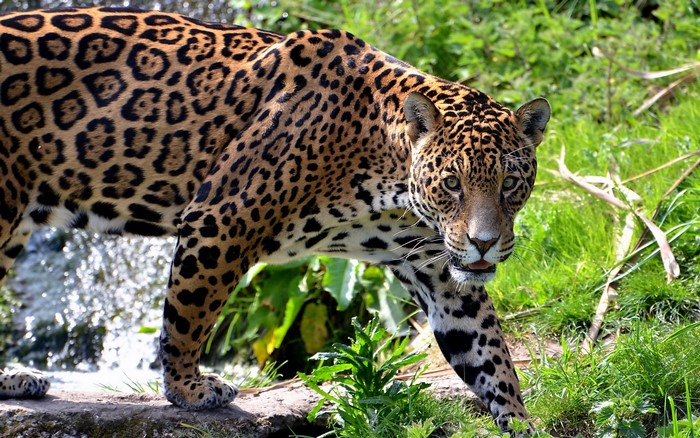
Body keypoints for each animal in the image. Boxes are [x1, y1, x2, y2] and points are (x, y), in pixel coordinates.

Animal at [0, 6, 550, 434]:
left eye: (509, 183)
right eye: (452, 183)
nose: (484, 244)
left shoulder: (439, 268)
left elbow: (488, 352)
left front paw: (521, 421)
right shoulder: (221, 217)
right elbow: (187, 316)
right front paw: (187, 389)